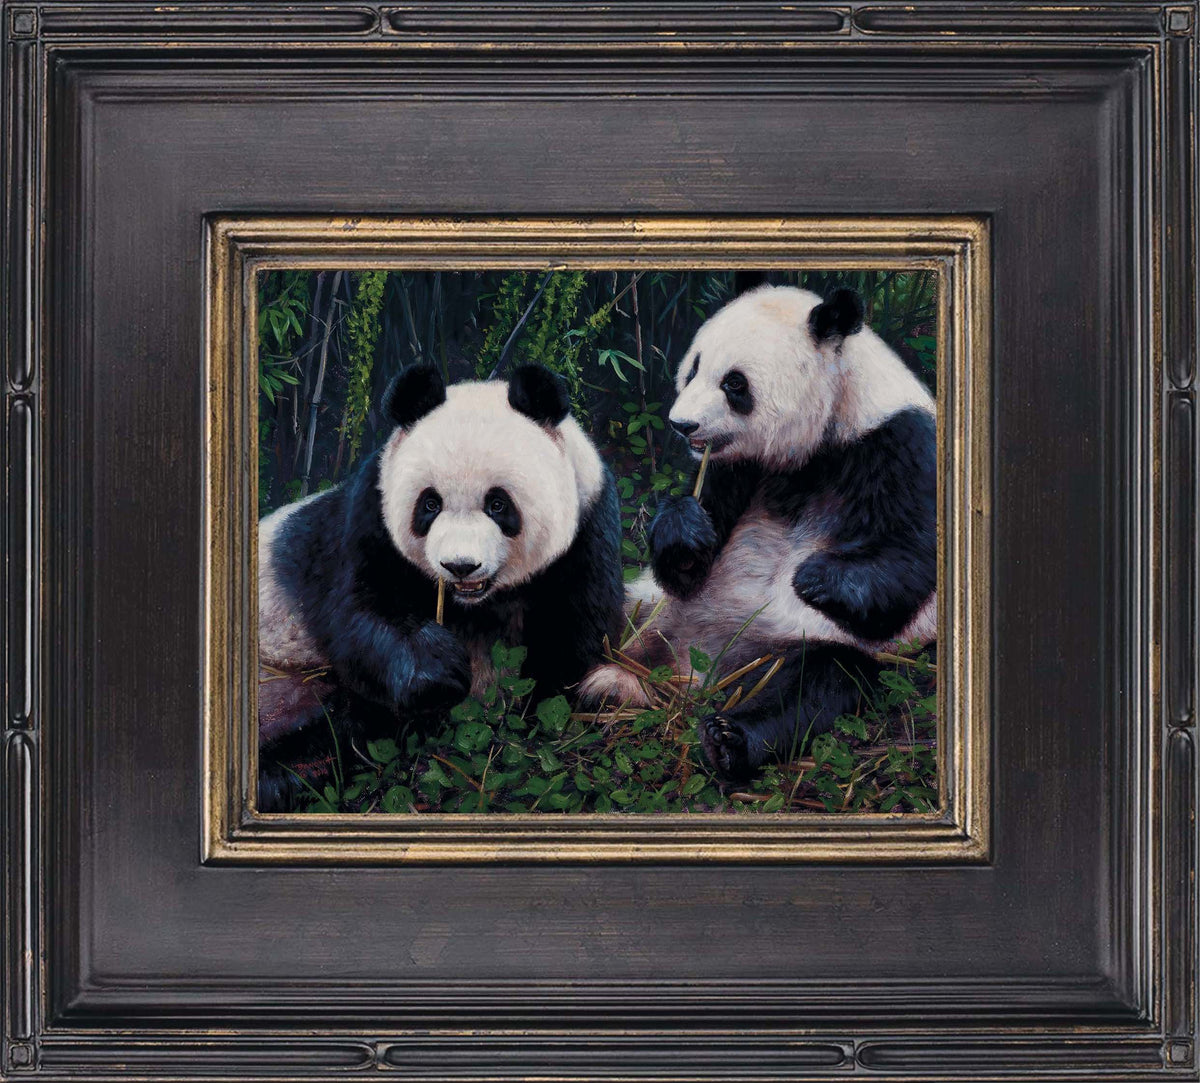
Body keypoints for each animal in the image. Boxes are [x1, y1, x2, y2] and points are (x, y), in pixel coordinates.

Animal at [257, 364, 623, 810]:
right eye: (429, 504)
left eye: (498, 504)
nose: (460, 566)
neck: (479, 602)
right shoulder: (367, 519)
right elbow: (362, 616)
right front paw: (439, 670)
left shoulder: (587, 531)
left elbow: (574, 634)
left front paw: (536, 715)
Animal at [581, 284, 936, 785]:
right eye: (693, 367)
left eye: (735, 383)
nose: (682, 425)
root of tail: (686, 671)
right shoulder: (734, 468)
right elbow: (690, 561)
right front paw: (684, 532)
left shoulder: (898, 444)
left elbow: (909, 561)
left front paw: (815, 577)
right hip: (643, 608)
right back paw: (601, 684)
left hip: (792, 648)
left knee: (813, 685)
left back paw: (726, 739)